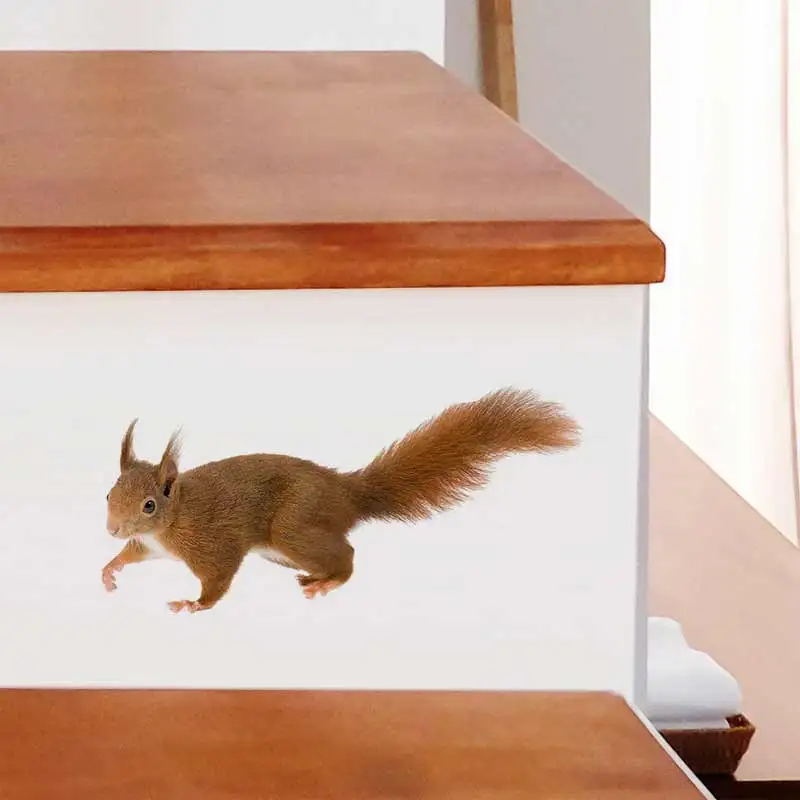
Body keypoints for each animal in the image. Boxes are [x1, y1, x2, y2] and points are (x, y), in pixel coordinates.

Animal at [102, 387, 580, 614]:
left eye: (149, 505)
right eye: (108, 492)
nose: (111, 528)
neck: (175, 516)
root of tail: (347, 492)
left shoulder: (211, 545)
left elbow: (216, 580)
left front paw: (194, 603)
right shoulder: (153, 546)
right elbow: (135, 554)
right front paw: (110, 570)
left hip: (293, 529)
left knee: (348, 554)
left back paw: (328, 582)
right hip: (283, 551)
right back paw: (318, 577)